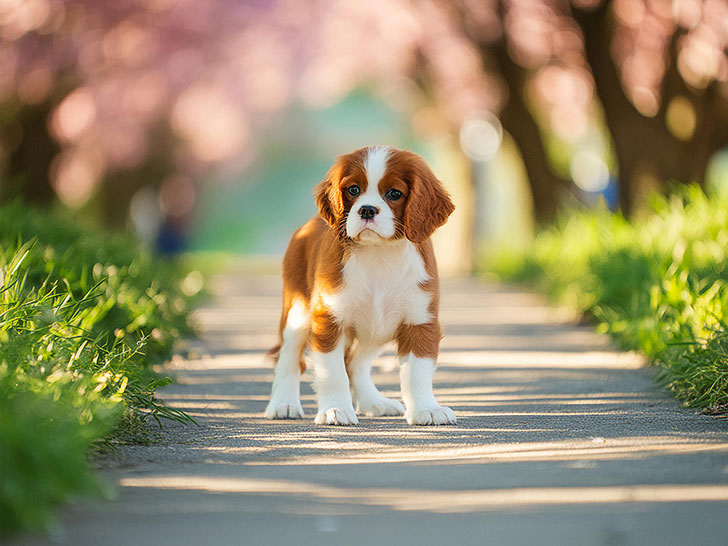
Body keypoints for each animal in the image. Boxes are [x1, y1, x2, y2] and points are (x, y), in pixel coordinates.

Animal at [262, 146, 456, 424]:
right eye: (353, 189)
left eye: (394, 193)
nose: (366, 210)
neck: (378, 253)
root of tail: (307, 225)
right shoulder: (328, 320)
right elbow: (332, 372)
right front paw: (335, 410)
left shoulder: (420, 321)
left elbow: (417, 373)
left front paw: (426, 409)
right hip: (297, 313)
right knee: (289, 359)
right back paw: (283, 404)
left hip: (373, 330)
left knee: (355, 362)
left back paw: (374, 402)